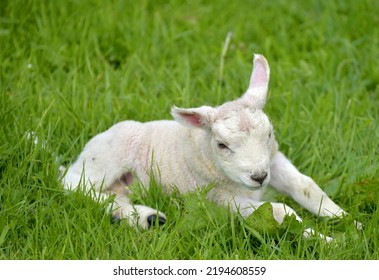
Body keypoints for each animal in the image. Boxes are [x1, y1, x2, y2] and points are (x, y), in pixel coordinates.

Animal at [61, 54, 354, 241]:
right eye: (222, 145)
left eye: (269, 134)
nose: (258, 177)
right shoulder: (218, 198)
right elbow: (281, 211)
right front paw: (328, 241)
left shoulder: (273, 160)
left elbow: (306, 186)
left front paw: (347, 219)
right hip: (108, 154)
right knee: (75, 185)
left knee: (112, 195)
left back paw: (145, 217)